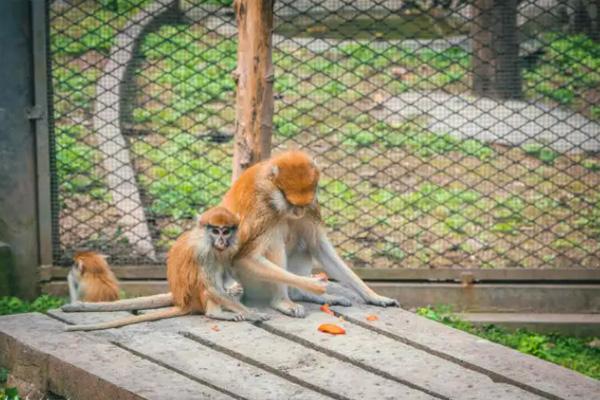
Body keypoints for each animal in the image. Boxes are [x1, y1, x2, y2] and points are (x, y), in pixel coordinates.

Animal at [62, 206, 328, 332]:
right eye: (215, 230)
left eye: (226, 231)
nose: (221, 240)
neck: (208, 240)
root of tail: (183, 301)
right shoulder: (203, 251)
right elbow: (210, 284)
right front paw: (251, 313)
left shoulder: (232, 245)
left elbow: (226, 271)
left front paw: (235, 289)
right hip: (195, 296)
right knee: (204, 284)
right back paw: (217, 313)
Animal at [220, 148, 398, 318]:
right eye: (291, 202)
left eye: (303, 204)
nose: (299, 212)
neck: (271, 190)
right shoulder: (262, 210)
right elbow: (245, 258)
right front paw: (313, 285)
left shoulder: (312, 208)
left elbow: (319, 246)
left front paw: (374, 296)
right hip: (252, 281)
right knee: (275, 243)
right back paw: (283, 301)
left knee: (303, 246)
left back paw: (301, 294)